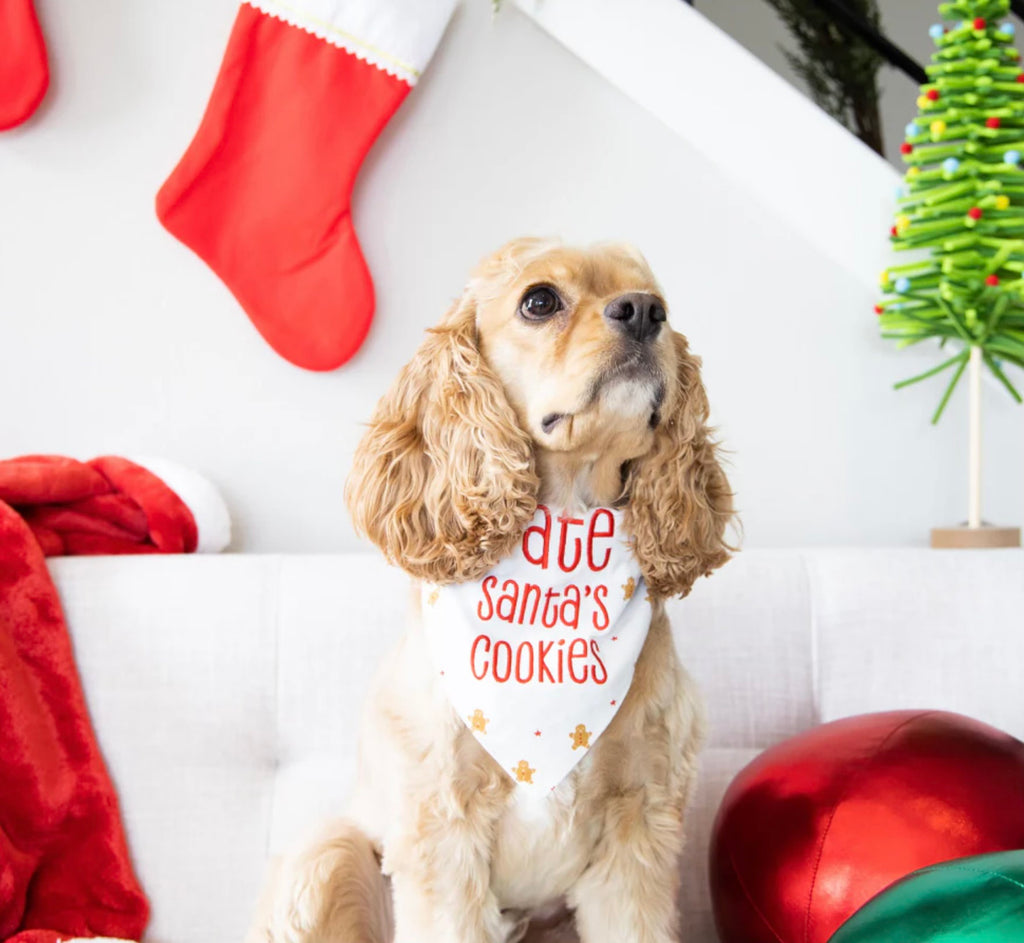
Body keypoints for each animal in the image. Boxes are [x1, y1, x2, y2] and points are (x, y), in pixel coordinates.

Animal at [250, 237, 733, 941]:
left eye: (662, 304)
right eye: (540, 301)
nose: (645, 312)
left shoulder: (641, 823)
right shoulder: (441, 832)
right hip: (325, 859)